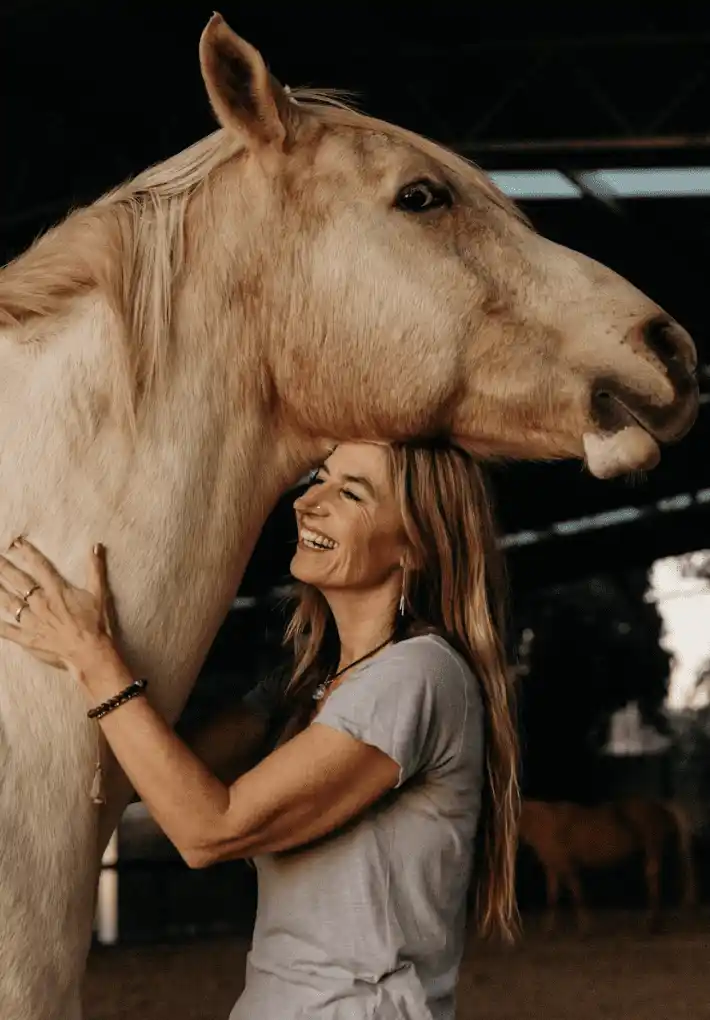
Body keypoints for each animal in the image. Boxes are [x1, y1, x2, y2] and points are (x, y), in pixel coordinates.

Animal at [518, 798, 697, 933]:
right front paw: (548, 929)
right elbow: (552, 896)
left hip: (652, 847)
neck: (546, 823)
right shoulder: (552, 867)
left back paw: (653, 924)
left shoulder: (566, 865)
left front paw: (585, 927)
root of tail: (661, 807)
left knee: (652, 878)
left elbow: (577, 891)